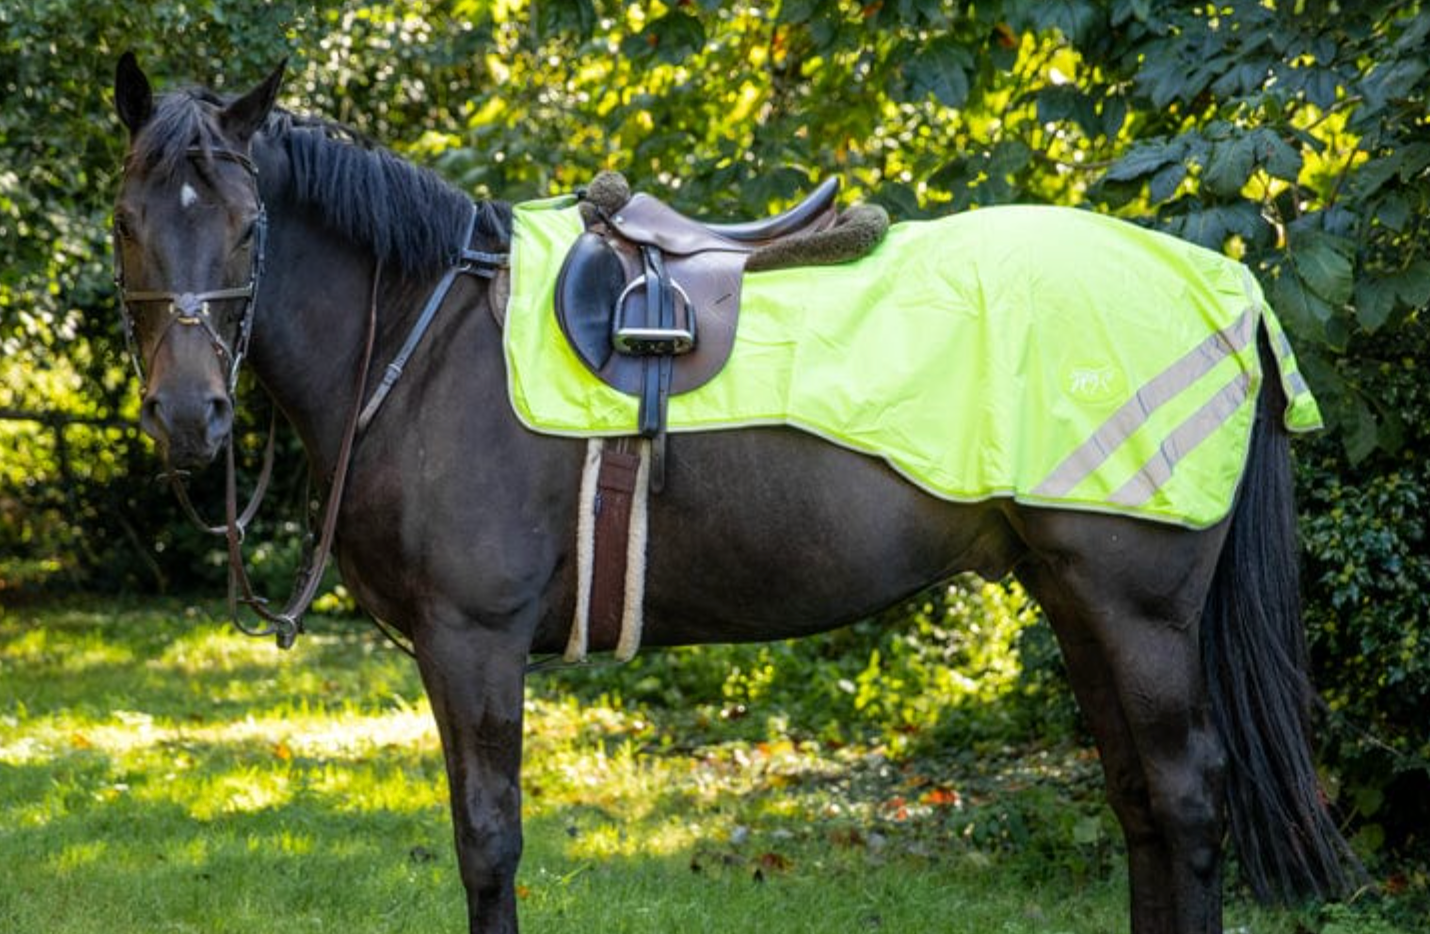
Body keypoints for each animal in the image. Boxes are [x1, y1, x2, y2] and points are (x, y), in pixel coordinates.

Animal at [114, 58, 1361, 932]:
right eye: (129, 222)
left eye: (247, 224)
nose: (190, 416)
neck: (429, 338)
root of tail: (1227, 285)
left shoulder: (473, 640)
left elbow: (488, 843)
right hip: (1073, 599)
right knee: (1138, 803)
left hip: (1136, 609)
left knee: (1184, 799)